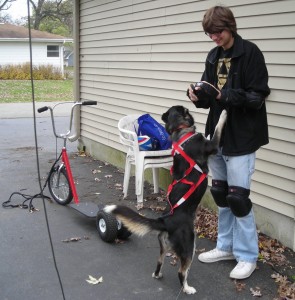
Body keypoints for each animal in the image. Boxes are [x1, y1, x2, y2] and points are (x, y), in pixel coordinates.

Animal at [105, 106, 228, 294]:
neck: (181, 132)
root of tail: (165, 221)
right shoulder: (212, 145)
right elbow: (217, 128)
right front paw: (224, 113)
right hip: (189, 245)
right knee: (181, 272)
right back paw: (187, 288)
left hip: (164, 246)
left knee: (159, 261)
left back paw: (158, 275)